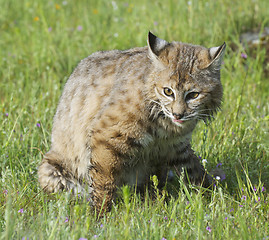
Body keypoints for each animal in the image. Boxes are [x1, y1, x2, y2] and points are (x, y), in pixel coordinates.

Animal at [38, 31, 224, 212]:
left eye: (193, 95)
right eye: (168, 91)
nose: (178, 114)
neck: (164, 122)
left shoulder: (177, 146)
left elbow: (194, 171)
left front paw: (214, 197)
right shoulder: (106, 134)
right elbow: (104, 178)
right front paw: (99, 213)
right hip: (51, 169)